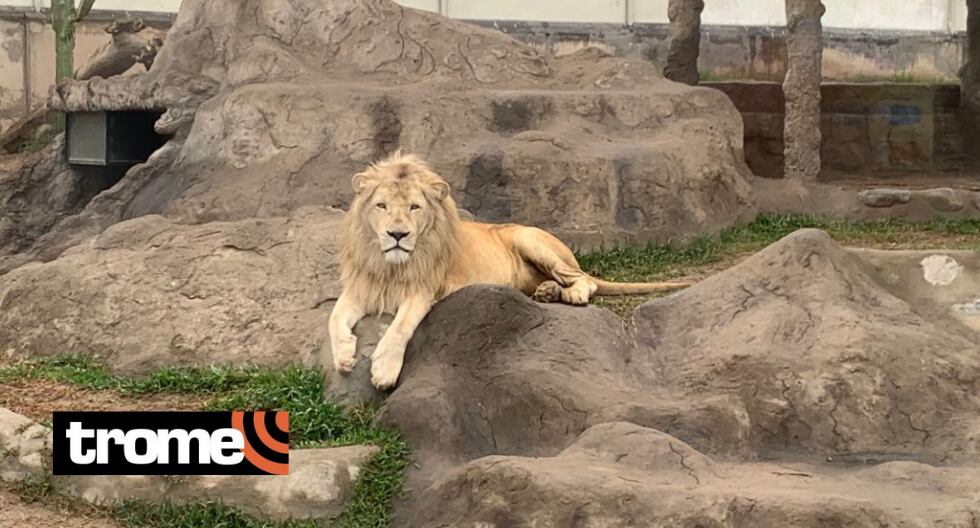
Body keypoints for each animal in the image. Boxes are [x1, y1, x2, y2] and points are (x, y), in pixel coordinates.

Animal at [329, 152, 691, 390]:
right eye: (382, 206)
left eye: (415, 207)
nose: (397, 234)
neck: (389, 265)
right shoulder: (363, 285)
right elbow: (334, 317)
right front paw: (344, 356)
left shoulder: (424, 289)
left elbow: (400, 327)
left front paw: (383, 371)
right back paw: (547, 292)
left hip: (529, 238)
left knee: (583, 278)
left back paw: (571, 293)